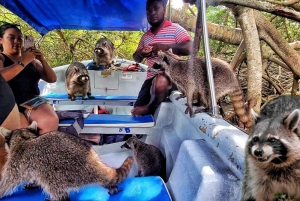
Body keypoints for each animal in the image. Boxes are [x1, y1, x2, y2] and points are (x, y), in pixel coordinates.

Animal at [0, 121, 132, 201]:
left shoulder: (16, 162)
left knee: (50, 183)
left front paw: (1, 190)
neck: (24, 138)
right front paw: (34, 182)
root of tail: (93, 163)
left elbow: (8, 181)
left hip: (57, 170)